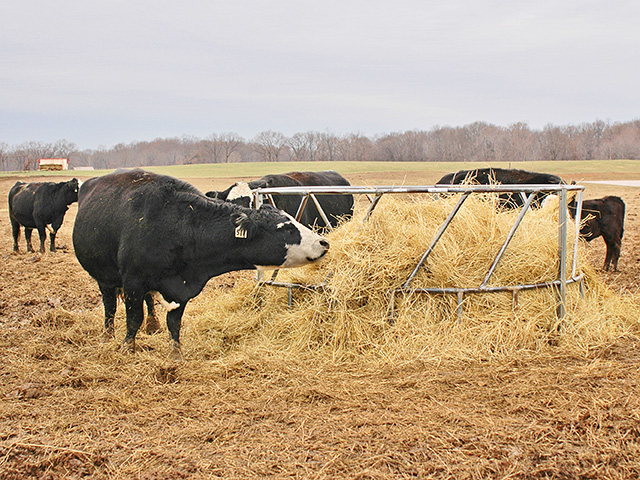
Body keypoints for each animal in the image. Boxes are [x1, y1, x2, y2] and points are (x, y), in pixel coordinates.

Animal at [72, 169, 329, 360]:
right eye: (284, 228)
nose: (324, 242)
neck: (180, 224)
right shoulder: (133, 282)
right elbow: (133, 318)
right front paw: (127, 349)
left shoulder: (181, 287)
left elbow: (174, 322)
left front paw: (175, 354)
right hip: (105, 277)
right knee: (109, 307)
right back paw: (107, 336)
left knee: (148, 301)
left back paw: (152, 325)